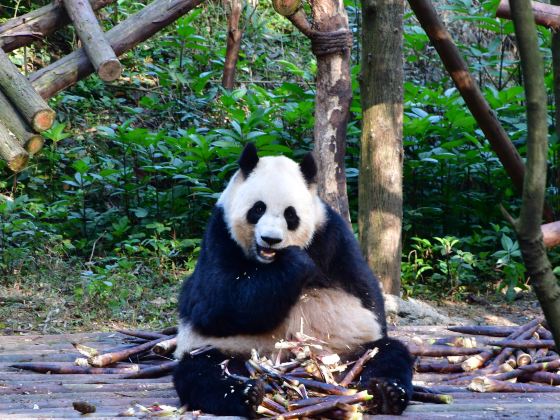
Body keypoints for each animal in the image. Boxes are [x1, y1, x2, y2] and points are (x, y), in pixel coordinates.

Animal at [173, 144, 414, 416]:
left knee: (388, 353)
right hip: (228, 351)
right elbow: (213, 301)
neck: (268, 263)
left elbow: (366, 291)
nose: (270, 239)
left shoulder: (331, 235)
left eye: (290, 215)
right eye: (258, 209)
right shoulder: (219, 236)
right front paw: (296, 262)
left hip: (348, 351)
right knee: (201, 372)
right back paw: (247, 394)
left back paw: (388, 391)